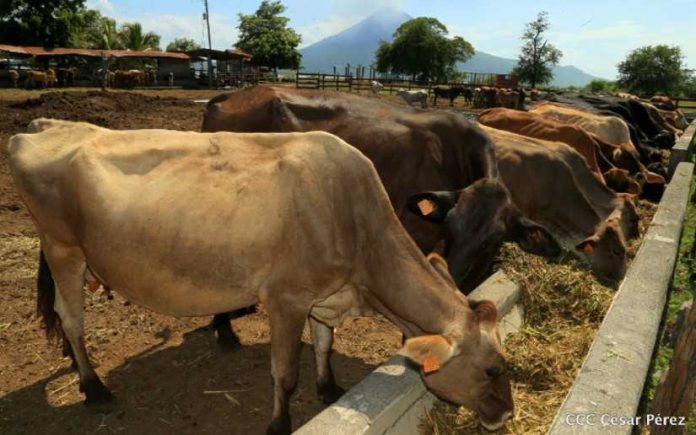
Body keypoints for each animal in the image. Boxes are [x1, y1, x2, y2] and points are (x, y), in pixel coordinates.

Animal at [6, 117, 516, 434]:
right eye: (493, 369)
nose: (507, 415)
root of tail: (45, 125)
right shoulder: (286, 298)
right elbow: (285, 373)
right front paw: (279, 424)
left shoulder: (323, 294)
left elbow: (325, 342)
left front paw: (329, 388)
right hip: (62, 247)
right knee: (70, 316)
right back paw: (93, 386)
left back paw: (77, 367)